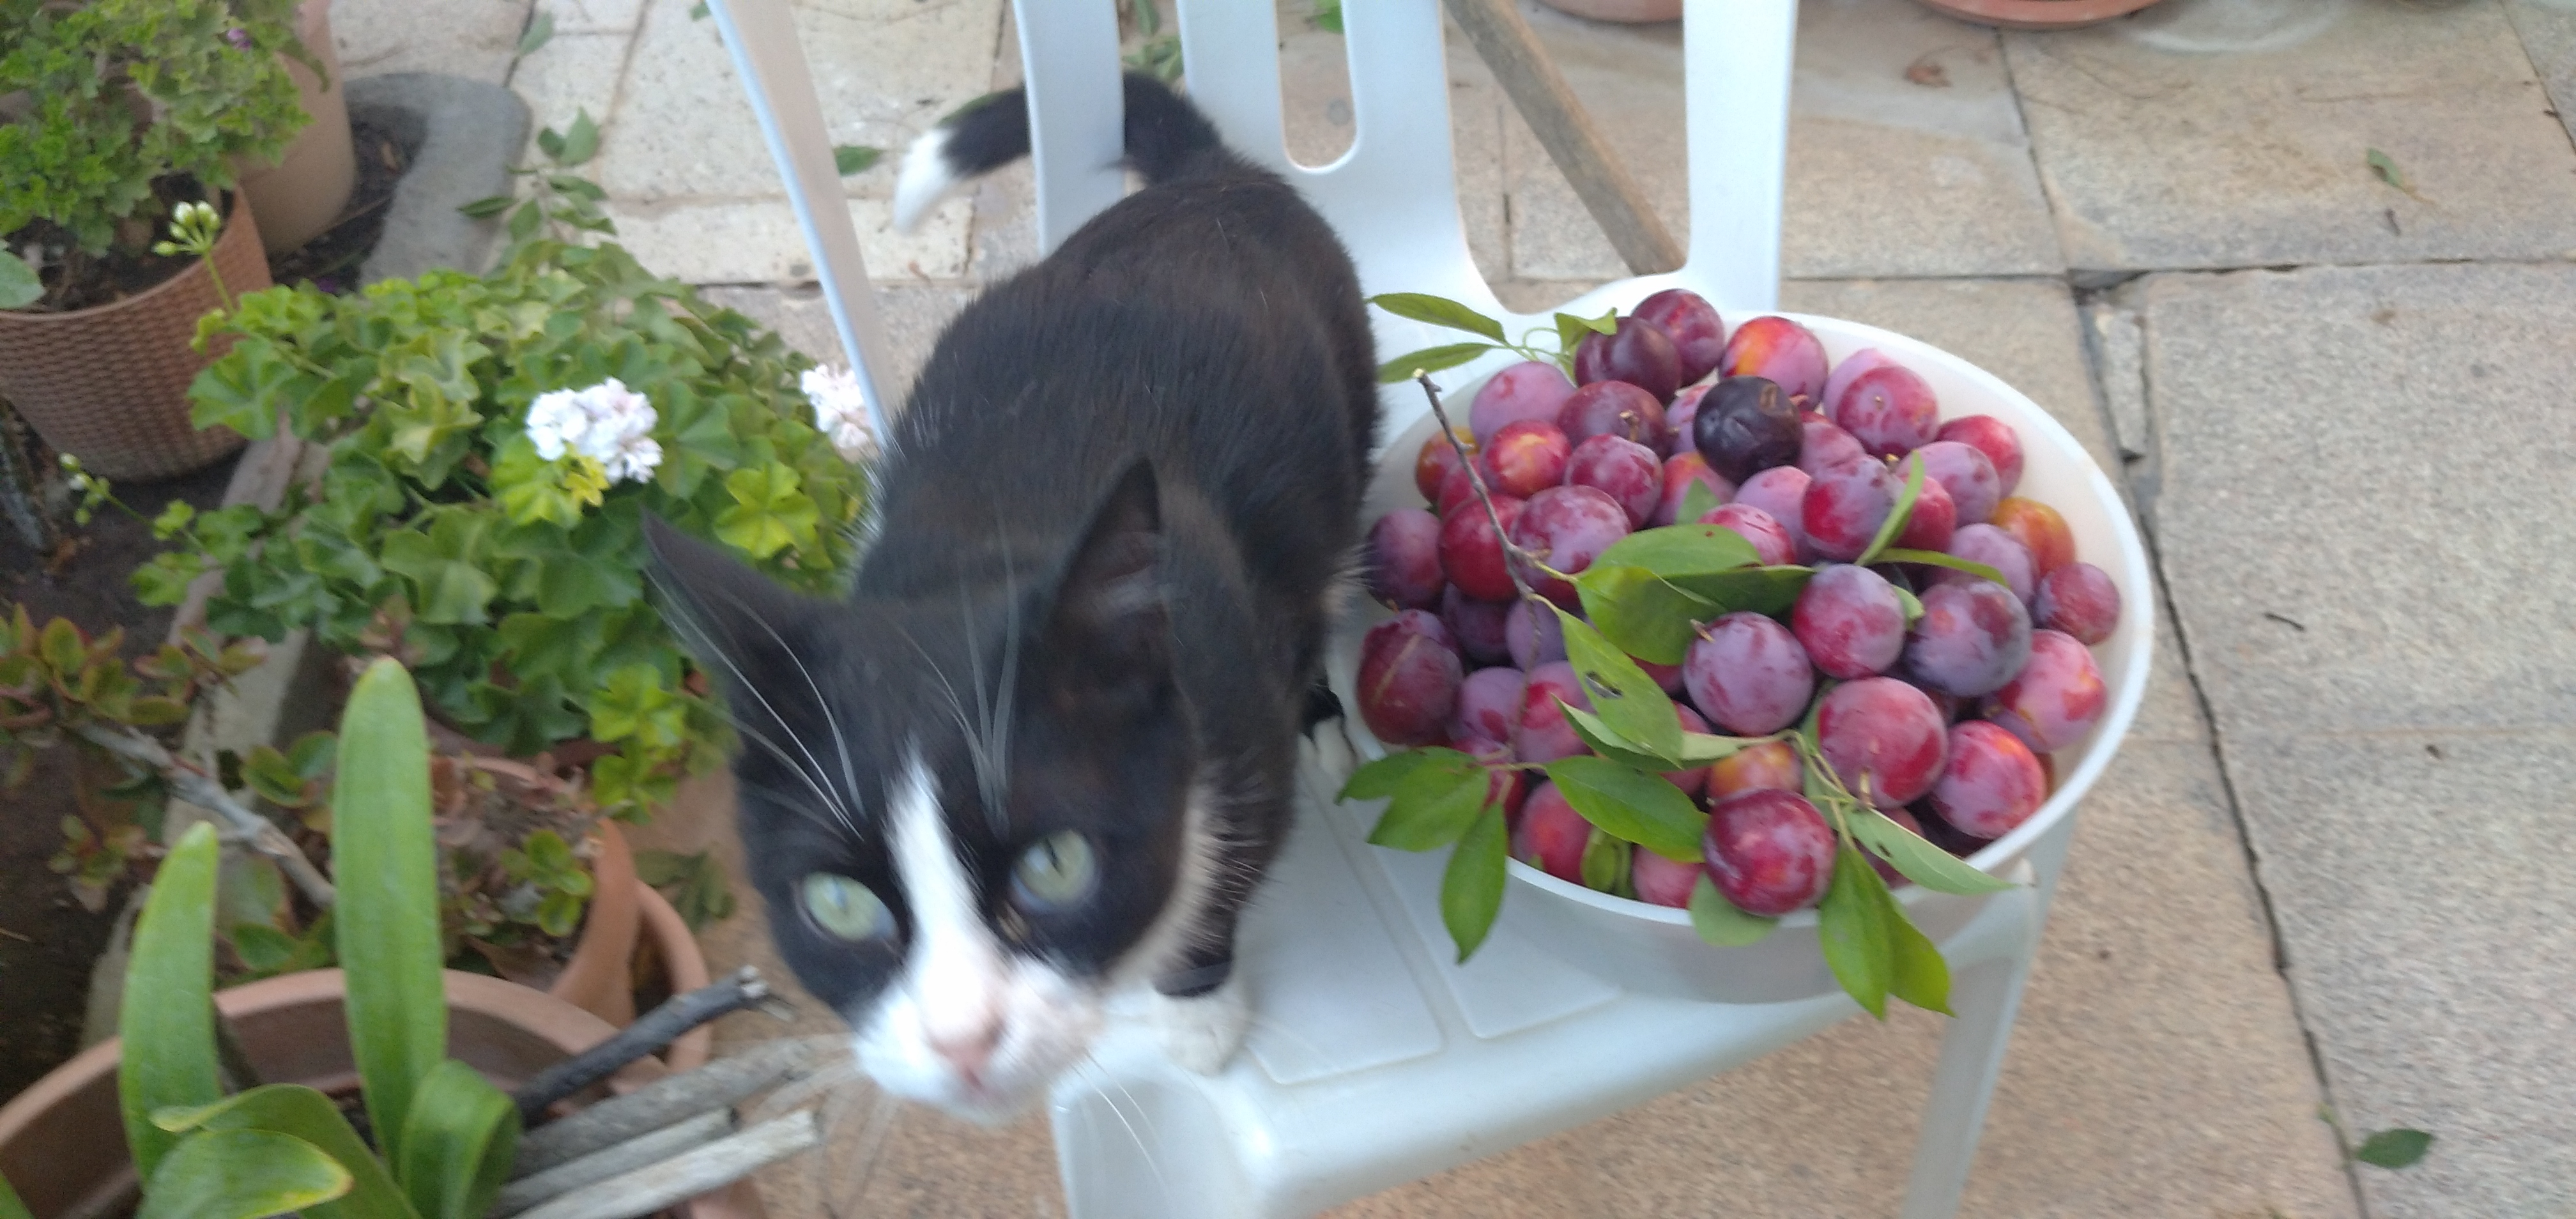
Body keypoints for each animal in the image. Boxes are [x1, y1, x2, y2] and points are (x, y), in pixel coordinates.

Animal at [644, 73, 1379, 1123]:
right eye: (839, 906)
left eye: (1055, 866)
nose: (962, 1041)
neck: (976, 558)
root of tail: (1210, 178)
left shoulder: (1234, 708)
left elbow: (1232, 856)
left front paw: (1199, 1011)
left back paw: (1321, 715)